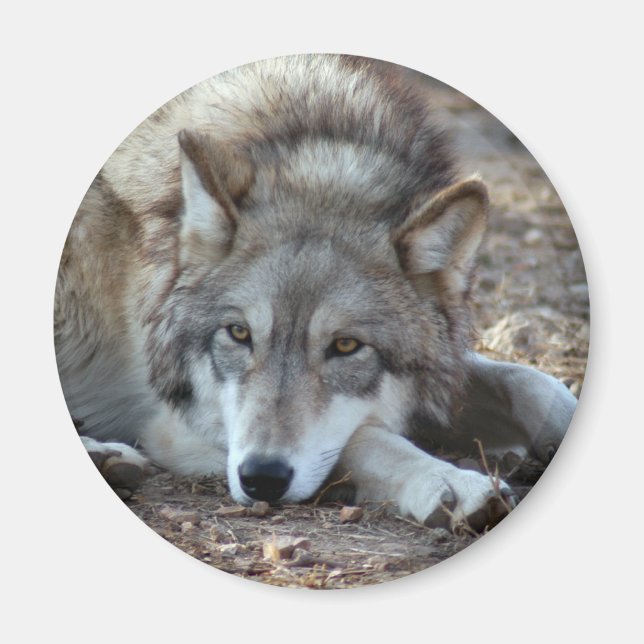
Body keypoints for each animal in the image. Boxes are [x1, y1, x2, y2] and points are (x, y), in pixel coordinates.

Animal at [55, 54, 577, 530]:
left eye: (345, 346)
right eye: (238, 333)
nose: (261, 478)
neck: (310, 151)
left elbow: (532, 383)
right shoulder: (178, 421)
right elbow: (365, 438)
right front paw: (449, 481)